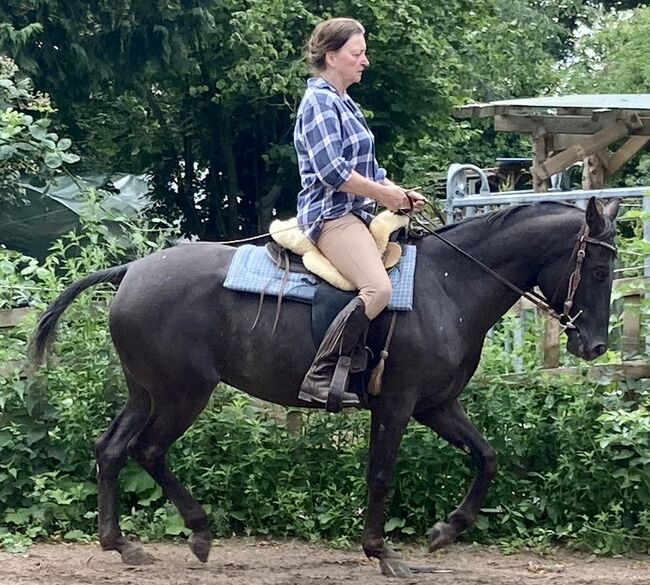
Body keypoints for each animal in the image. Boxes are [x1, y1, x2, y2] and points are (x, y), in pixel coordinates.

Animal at [29, 195, 616, 576]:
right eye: (598, 271)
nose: (594, 346)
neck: (448, 286)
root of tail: (132, 271)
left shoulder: (437, 405)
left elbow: (487, 457)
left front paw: (446, 531)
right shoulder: (397, 404)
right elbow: (380, 474)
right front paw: (382, 552)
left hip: (147, 392)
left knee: (112, 449)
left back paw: (123, 545)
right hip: (181, 395)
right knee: (148, 451)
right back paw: (196, 532)